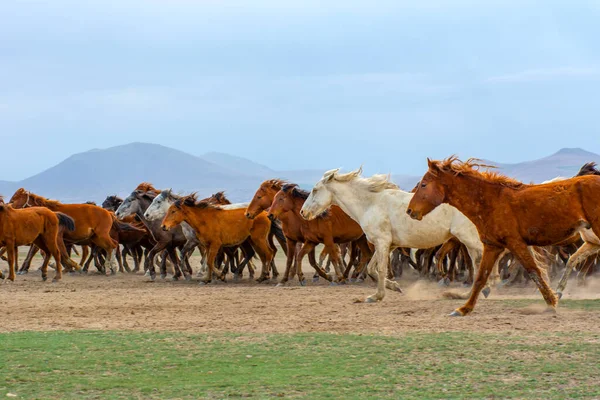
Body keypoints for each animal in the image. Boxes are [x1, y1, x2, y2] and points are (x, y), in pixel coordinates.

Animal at [302, 166, 486, 304]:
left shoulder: (382, 242)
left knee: (480, 263)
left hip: (470, 239)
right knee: (479, 263)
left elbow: (381, 269)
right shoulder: (388, 244)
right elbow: (372, 268)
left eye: (315, 190)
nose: (303, 212)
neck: (371, 204)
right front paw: (394, 286)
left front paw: (376, 296)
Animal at [406, 156, 600, 316]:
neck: (491, 201)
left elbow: (533, 271)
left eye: (423, 184)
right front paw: (463, 309)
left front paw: (551, 303)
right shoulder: (492, 245)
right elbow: (481, 277)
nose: (409, 211)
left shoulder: (516, 243)